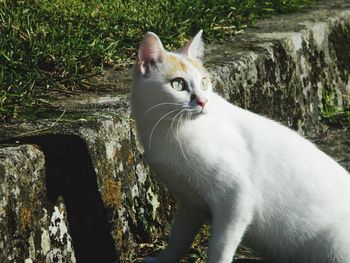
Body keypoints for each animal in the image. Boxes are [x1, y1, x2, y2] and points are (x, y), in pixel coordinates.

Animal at [131, 29, 350, 262]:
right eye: (178, 84)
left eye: (204, 82)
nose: (203, 101)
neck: (169, 130)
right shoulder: (190, 203)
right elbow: (178, 237)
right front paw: (164, 258)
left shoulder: (236, 198)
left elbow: (219, 247)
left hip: (336, 246)